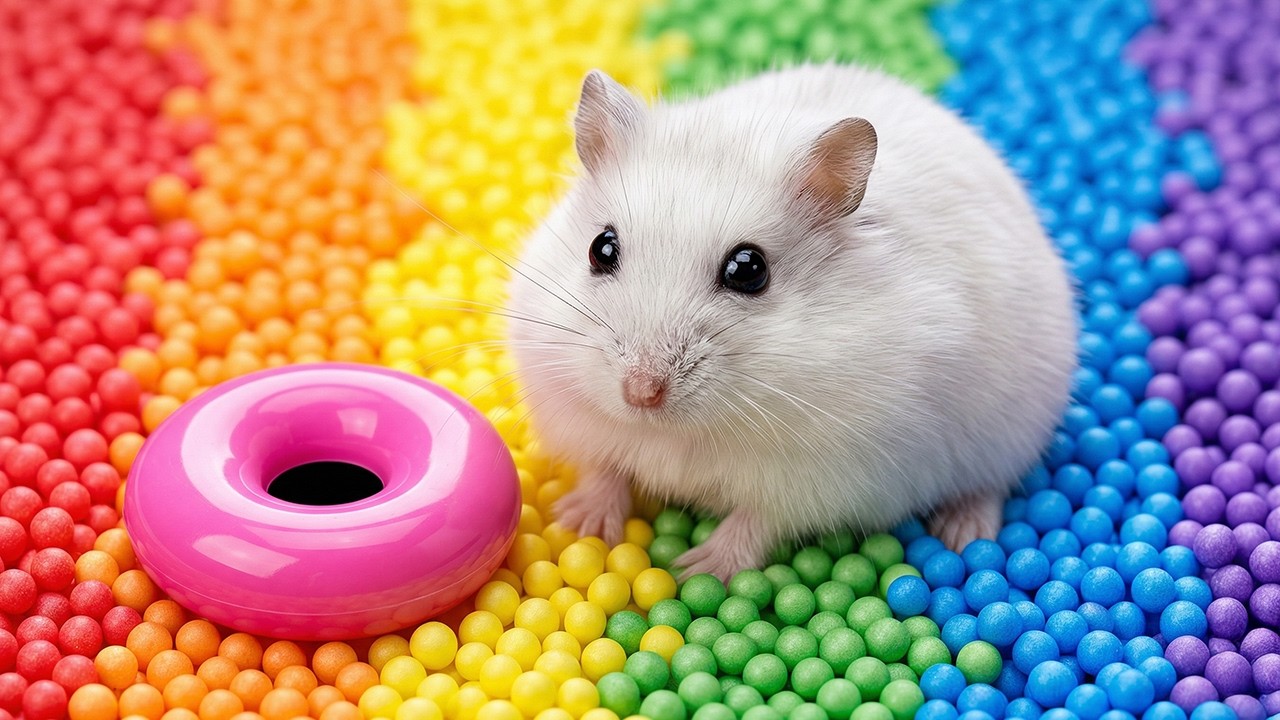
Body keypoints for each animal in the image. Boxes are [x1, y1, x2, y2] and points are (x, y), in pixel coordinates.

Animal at [506, 63, 1077, 581]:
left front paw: (699, 571)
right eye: (600, 248)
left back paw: (963, 532)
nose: (640, 393)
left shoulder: (822, 480)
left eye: (749, 269)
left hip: (1016, 428)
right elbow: (604, 472)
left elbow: (755, 522)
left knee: (991, 486)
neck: (678, 433)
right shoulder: (580, 419)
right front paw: (575, 525)